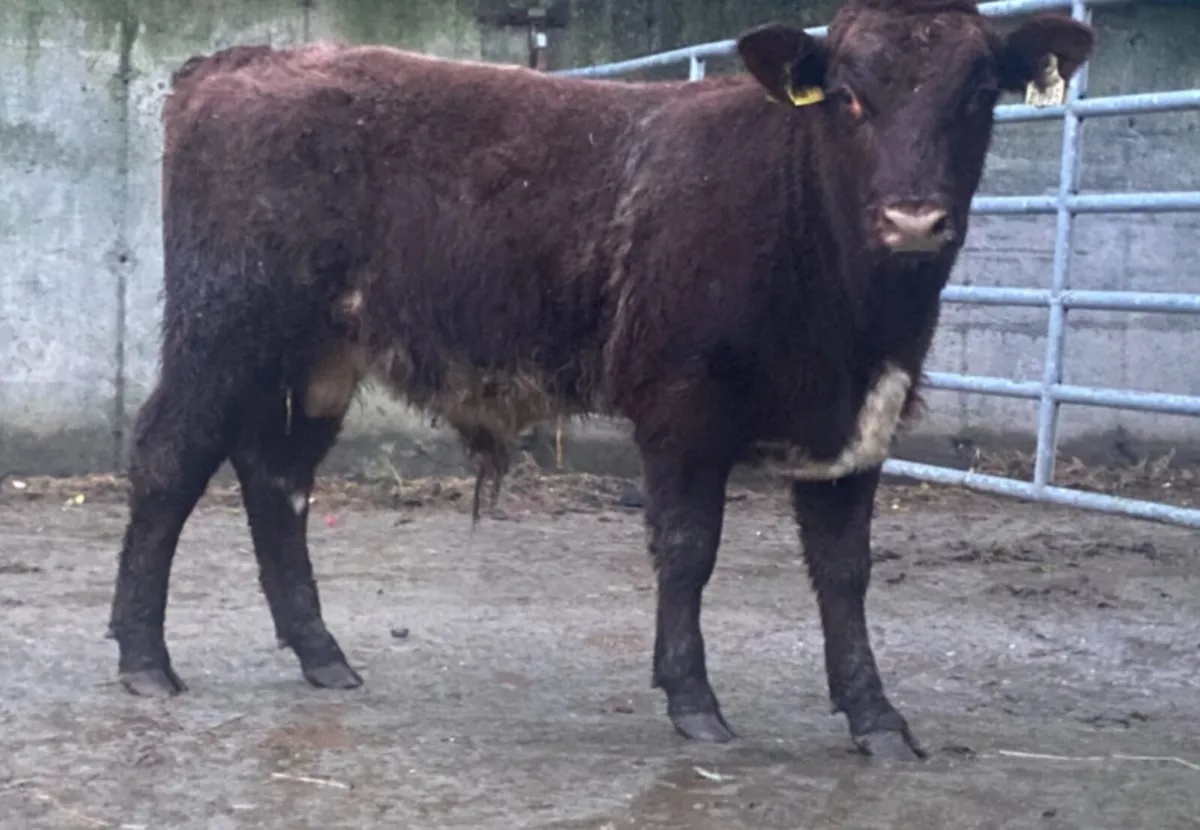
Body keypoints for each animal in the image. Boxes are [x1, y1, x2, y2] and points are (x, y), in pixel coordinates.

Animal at [107, 0, 1095, 761]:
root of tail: (238, 60)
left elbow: (846, 571)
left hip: (316, 355)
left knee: (277, 477)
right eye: (849, 95)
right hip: (223, 324)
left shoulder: (860, 420)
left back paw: (320, 652)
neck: (855, 319)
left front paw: (876, 717)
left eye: (980, 93)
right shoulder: (682, 405)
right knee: (169, 457)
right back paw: (145, 660)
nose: (914, 216)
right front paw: (694, 701)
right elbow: (690, 549)